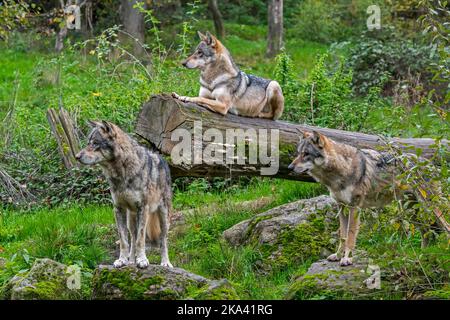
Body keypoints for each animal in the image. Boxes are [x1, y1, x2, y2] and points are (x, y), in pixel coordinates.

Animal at [74, 120, 173, 268]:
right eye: (88, 143)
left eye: (95, 143)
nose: (77, 157)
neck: (121, 174)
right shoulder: (118, 209)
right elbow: (124, 240)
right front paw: (122, 260)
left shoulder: (143, 209)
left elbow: (141, 239)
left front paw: (142, 260)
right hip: (130, 219)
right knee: (132, 237)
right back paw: (131, 260)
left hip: (163, 217)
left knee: (163, 240)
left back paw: (165, 262)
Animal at [288, 131, 432, 266]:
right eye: (298, 153)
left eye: (306, 154)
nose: (290, 167)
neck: (341, 170)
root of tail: (429, 163)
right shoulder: (341, 207)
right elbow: (343, 236)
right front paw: (338, 255)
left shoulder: (354, 207)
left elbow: (350, 236)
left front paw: (347, 258)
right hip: (410, 210)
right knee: (426, 230)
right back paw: (424, 253)